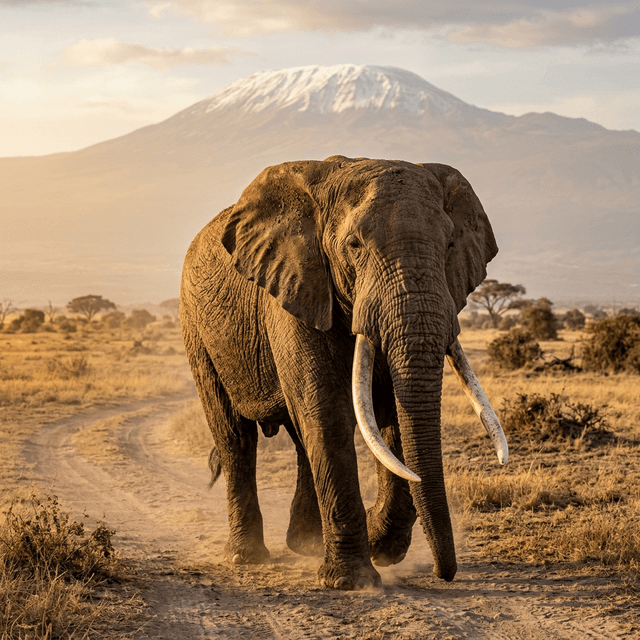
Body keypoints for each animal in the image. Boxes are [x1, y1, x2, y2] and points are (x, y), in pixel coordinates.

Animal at [180, 155, 508, 591]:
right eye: (354, 246)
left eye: (450, 245)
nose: (446, 574)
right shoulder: (294, 288)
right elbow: (327, 412)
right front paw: (353, 581)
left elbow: (391, 418)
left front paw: (380, 548)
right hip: (196, 328)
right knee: (235, 437)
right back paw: (246, 557)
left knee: (299, 439)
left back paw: (305, 544)